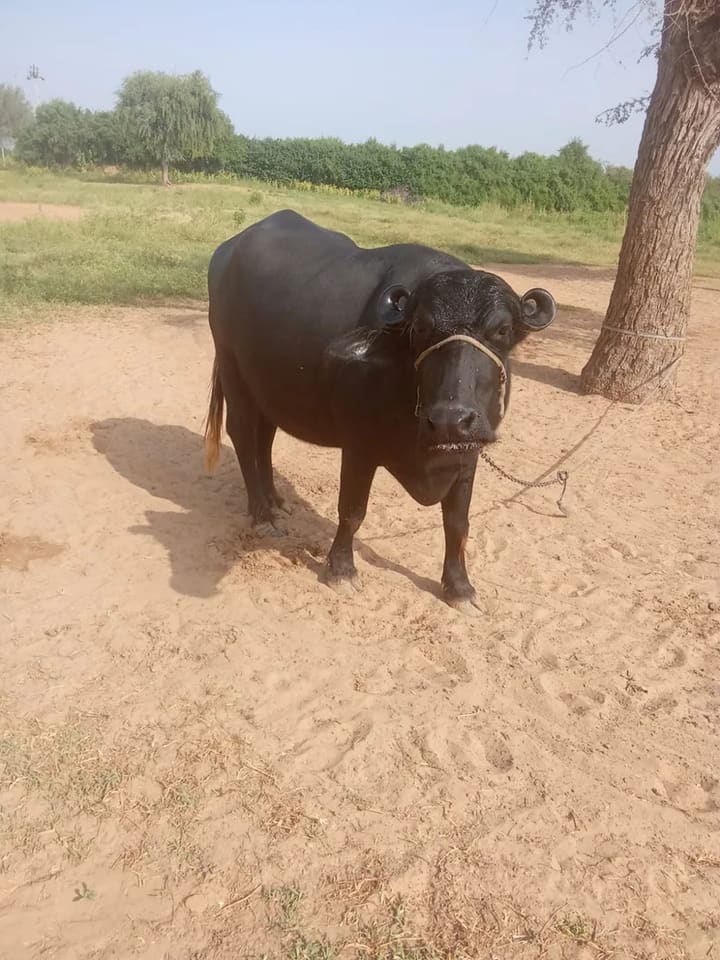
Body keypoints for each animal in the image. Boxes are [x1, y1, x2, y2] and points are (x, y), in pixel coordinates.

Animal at [204, 210, 556, 611]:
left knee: (265, 437)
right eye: (421, 328)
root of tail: (226, 252)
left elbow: (457, 522)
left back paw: (276, 501)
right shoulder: (359, 446)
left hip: (269, 387)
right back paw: (262, 515)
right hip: (232, 368)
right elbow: (352, 510)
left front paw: (460, 588)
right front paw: (341, 570)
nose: (451, 419)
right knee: (243, 434)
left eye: (502, 329)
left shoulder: (469, 453)